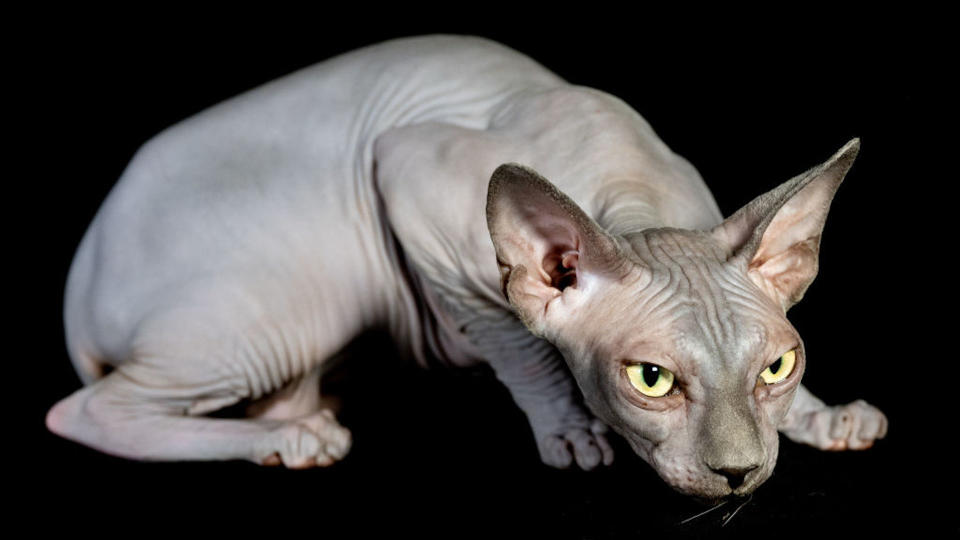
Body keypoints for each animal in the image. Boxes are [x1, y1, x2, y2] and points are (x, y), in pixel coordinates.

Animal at [45, 33, 884, 500]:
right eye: (651, 380)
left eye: (776, 367)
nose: (739, 474)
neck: (631, 183)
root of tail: (83, 267)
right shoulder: (405, 174)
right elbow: (513, 340)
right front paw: (566, 428)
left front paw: (822, 418)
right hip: (282, 311)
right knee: (86, 413)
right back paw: (298, 440)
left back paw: (304, 416)